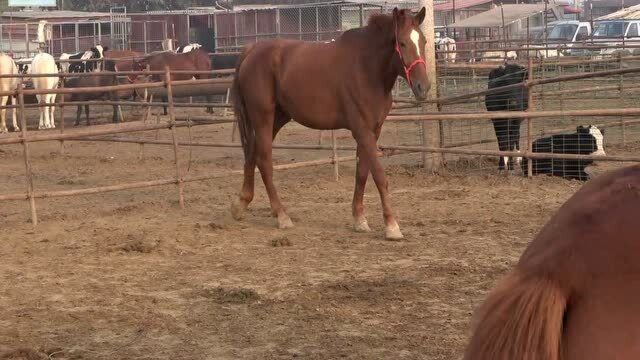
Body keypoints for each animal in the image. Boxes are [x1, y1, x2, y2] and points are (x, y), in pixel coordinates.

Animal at [231, 7, 430, 239]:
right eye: (403, 43)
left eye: (423, 41)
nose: (423, 87)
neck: (366, 68)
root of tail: (252, 50)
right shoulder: (362, 130)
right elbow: (380, 176)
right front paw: (391, 226)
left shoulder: (373, 130)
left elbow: (362, 173)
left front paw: (359, 219)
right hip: (262, 117)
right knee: (264, 160)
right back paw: (282, 215)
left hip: (278, 118)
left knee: (253, 154)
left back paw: (241, 204)